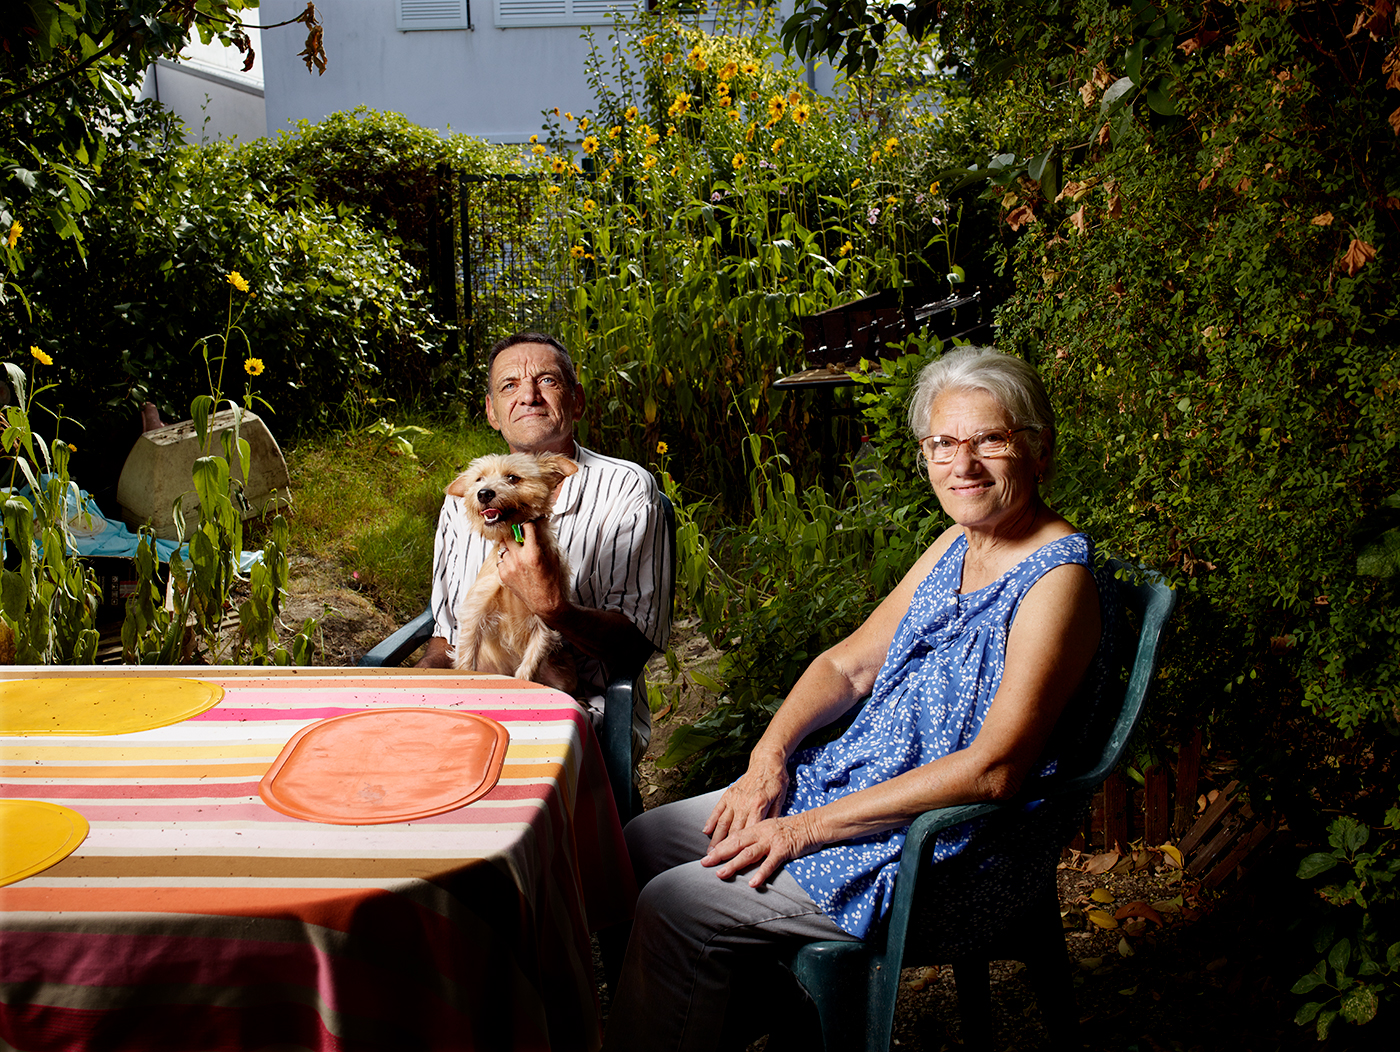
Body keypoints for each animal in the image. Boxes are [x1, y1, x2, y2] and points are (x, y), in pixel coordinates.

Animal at [450, 451, 576, 691]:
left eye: (512, 478)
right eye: (479, 479)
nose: (484, 493)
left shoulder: (545, 621)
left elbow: (527, 669)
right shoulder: (475, 611)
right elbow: (466, 658)